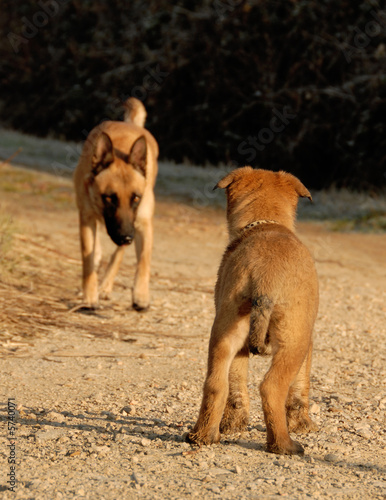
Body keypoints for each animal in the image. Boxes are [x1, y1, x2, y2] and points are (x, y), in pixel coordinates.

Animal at [74, 96, 158, 308]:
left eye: (136, 198)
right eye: (109, 198)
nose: (127, 237)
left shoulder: (142, 223)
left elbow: (144, 260)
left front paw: (141, 295)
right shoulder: (87, 218)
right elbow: (87, 257)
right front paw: (89, 295)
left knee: (117, 255)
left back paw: (105, 286)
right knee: (97, 251)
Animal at [188, 167, 320, 454]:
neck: (266, 221)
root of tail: (265, 276)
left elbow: (236, 381)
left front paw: (234, 424)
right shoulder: (308, 340)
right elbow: (300, 387)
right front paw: (302, 424)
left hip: (226, 331)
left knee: (216, 384)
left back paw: (203, 436)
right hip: (293, 341)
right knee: (272, 387)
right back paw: (284, 444)